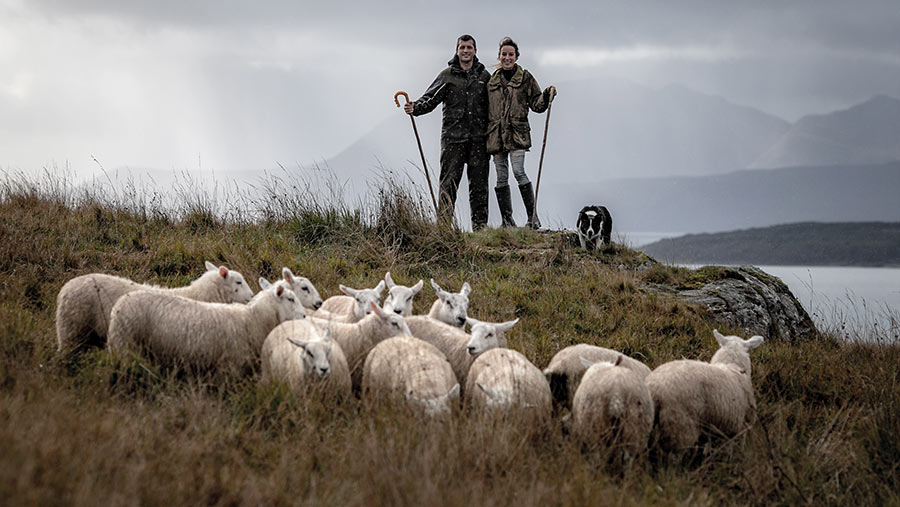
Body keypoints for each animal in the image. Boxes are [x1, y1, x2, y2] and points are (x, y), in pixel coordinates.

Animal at [107, 280, 306, 376]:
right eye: (290, 299)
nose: (305, 316)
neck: (252, 319)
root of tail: (119, 304)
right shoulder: (230, 366)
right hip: (125, 345)